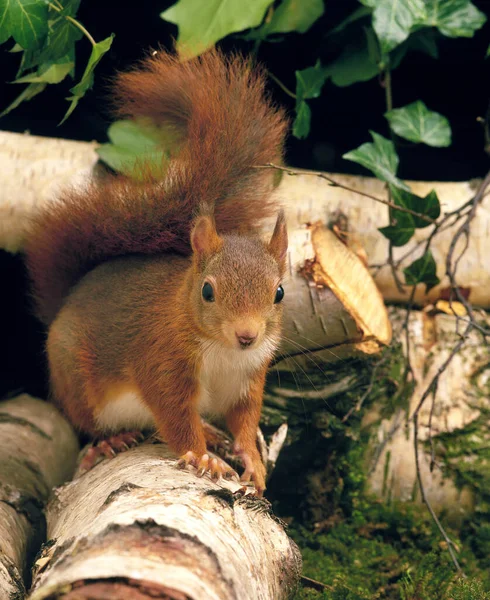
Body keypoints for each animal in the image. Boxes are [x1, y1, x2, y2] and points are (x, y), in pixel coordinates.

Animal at [23, 48, 288, 496]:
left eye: (280, 293)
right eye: (207, 291)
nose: (247, 335)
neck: (223, 352)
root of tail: (67, 298)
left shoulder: (248, 379)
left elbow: (244, 420)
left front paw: (251, 459)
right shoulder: (162, 359)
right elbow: (174, 416)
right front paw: (202, 457)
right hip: (75, 377)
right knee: (88, 422)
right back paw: (110, 441)